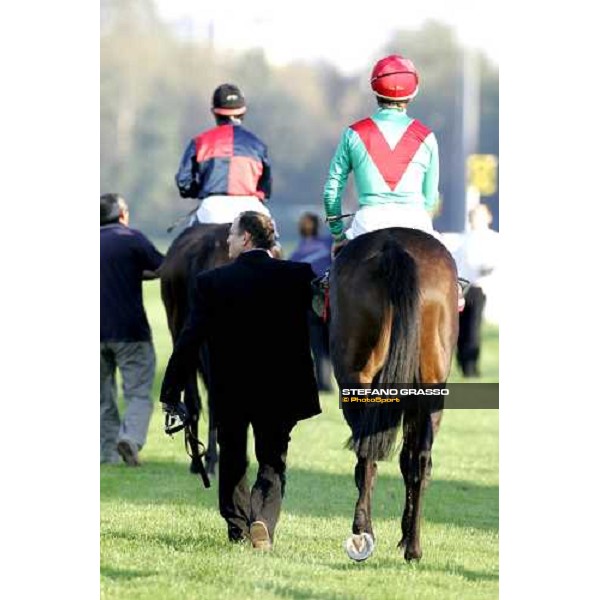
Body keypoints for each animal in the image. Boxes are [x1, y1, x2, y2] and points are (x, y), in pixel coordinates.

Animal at [328, 226, 460, 564]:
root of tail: (394, 247)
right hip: (430, 390)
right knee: (419, 460)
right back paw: (412, 546)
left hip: (358, 379)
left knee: (370, 453)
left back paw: (366, 531)